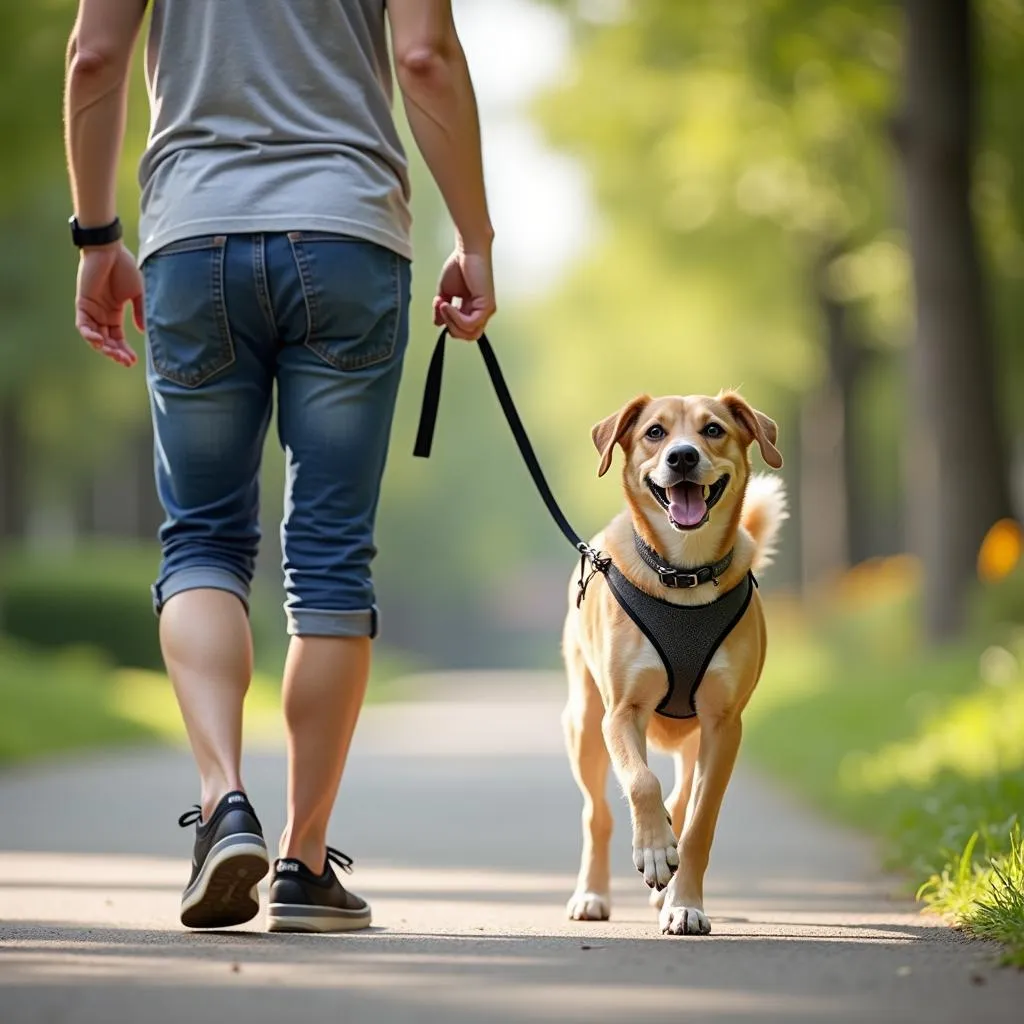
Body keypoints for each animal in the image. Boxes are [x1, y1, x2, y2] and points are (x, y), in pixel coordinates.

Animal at [565, 389, 786, 937]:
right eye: (655, 432)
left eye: (713, 430)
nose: (682, 457)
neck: (683, 574)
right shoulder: (621, 712)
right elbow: (641, 780)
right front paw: (651, 848)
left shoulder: (724, 724)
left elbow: (699, 821)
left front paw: (684, 903)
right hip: (583, 724)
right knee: (598, 814)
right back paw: (593, 893)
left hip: (694, 739)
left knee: (681, 800)